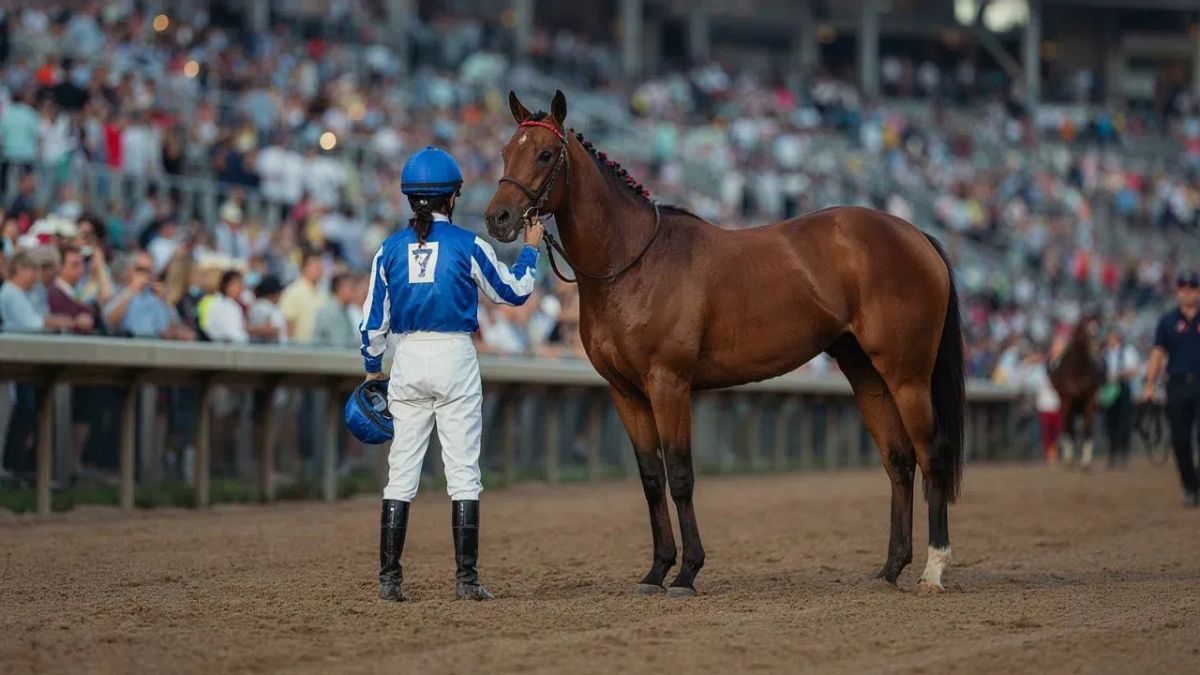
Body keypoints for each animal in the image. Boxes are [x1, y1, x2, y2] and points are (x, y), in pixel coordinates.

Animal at [485, 90, 966, 596]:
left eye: (544, 154)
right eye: (505, 151)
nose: (498, 218)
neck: (632, 262)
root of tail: (915, 236)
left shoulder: (669, 385)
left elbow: (680, 475)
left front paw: (686, 572)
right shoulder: (626, 393)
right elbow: (651, 479)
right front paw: (656, 571)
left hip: (908, 375)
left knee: (932, 455)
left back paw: (933, 570)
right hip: (867, 375)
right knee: (899, 461)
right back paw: (891, 569)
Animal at [1048, 314, 1105, 468]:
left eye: (1098, 327)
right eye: (1086, 329)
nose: (1098, 345)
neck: (1079, 370)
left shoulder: (1089, 401)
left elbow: (1087, 430)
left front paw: (1086, 462)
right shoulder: (1067, 399)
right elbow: (1067, 427)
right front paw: (1068, 458)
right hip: (1065, 403)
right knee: (1067, 426)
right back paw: (1068, 458)